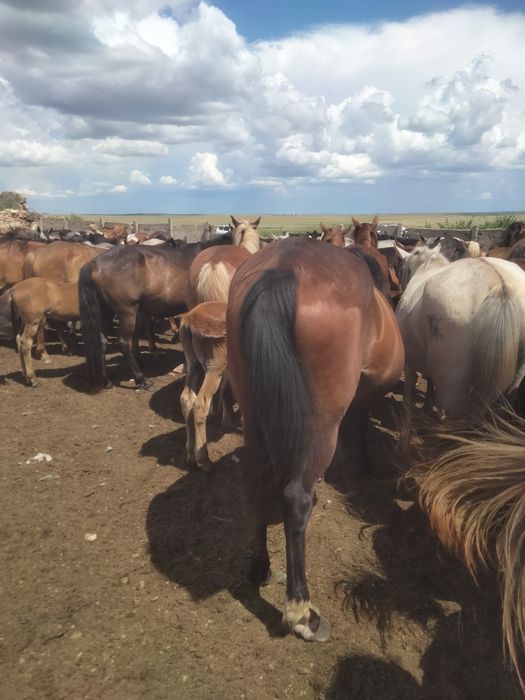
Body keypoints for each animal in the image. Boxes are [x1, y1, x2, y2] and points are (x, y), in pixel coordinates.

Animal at [79, 236, 234, 391]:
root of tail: (95, 263)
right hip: (127, 312)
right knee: (124, 343)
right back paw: (142, 379)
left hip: (106, 312)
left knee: (102, 342)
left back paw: (107, 380)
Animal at [178, 301, 230, 469]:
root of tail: (189, 319)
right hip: (214, 367)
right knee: (200, 403)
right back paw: (204, 460)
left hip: (194, 365)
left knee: (186, 398)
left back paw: (190, 455)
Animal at [226, 238, 404, 640]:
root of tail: (283, 271)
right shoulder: (367, 392)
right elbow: (362, 423)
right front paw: (365, 464)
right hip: (321, 424)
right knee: (295, 498)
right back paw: (301, 612)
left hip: (255, 414)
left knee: (255, 484)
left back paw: (260, 568)